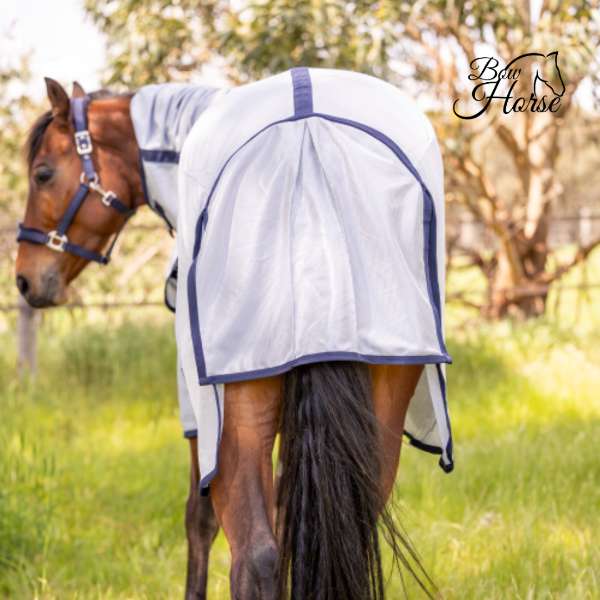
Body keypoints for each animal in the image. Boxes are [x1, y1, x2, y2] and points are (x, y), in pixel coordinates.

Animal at [15, 69, 453, 599]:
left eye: (42, 174)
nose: (25, 279)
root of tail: (308, 137)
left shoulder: (197, 417)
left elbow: (199, 519)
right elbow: (291, 522)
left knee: (254, 554)